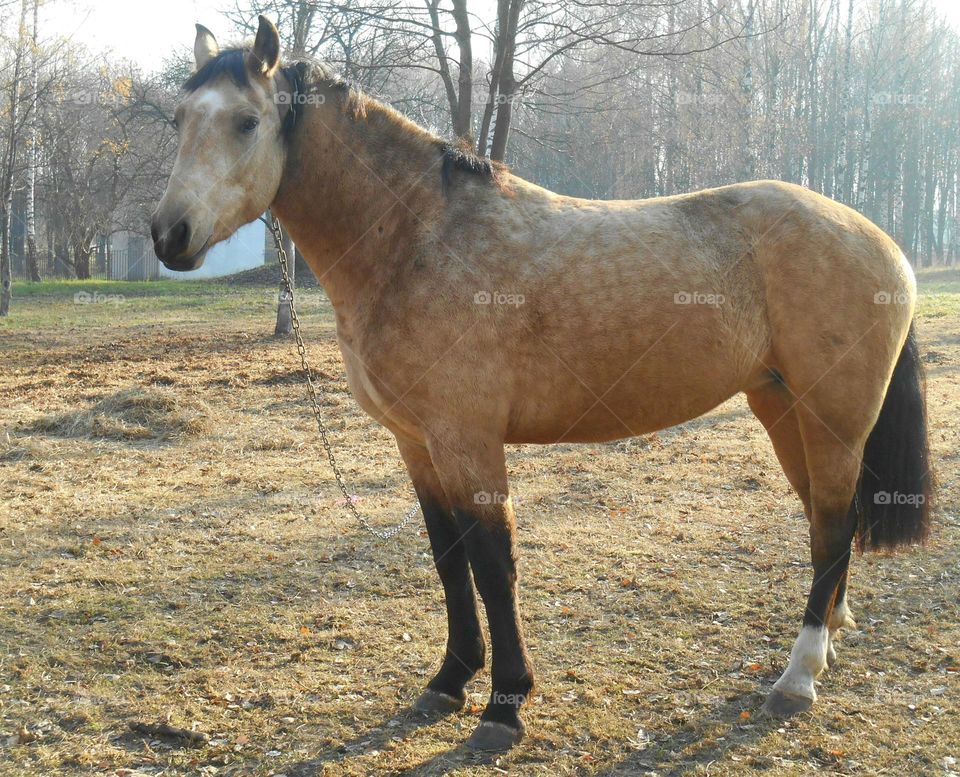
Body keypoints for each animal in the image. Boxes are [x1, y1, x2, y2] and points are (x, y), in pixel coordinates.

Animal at [152, 16, 933, 752]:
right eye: (178, 119)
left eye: (246, 121)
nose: (168, 234)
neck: (415, 240)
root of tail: (880, 240)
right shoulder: (418, 444)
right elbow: (448, 559)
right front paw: (447, 682)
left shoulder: (469, 440)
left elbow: (494, 565)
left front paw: (504, 705)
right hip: (783, 409)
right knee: (829, 523)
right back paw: (830, 637)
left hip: (833, 418)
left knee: (831, 526)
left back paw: (798, 676)